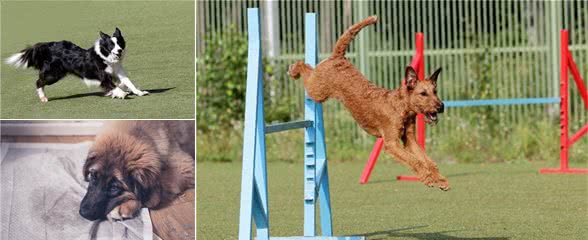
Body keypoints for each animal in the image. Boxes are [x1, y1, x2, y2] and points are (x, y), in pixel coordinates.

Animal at [290, 15, 450, 190]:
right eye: (423, 93)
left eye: (435, 92)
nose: (441, 106)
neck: (401, 107)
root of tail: (338, 57)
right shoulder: (392, 143)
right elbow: (415, 161)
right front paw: (429, 179)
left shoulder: (409, 140)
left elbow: (427, 160)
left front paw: (440, 179)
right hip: (316, 90)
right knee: (304, 66)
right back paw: (293, 70)